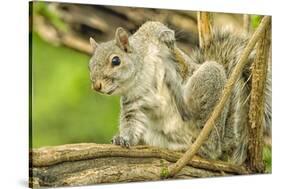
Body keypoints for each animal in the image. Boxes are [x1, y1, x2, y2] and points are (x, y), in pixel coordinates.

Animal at [88, 21, 272, 165]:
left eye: (115, 60)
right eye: (90, 66)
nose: (96, 86)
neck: (139, 77)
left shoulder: (150, 37)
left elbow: (154, 27)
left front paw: (167, 36)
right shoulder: (133, 101)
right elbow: (131, 122)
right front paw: (123, 138)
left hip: (210, 83)